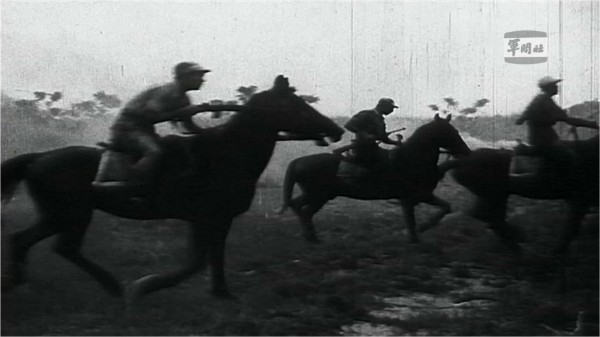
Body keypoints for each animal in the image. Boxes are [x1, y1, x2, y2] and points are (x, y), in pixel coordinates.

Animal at [0, 75, 344, 300]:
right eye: (297, 106)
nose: (335, 129)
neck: (226, 154)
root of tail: (37, 158)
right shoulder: (209, 218)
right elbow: (198, 261)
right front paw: (146, 286)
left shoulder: (212, 220)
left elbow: (210, 257)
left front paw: (221, 291)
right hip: (73, 214)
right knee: (64, 247)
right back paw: (112, 286)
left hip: (56, 215)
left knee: (24, 239)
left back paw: (19, 283)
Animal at [278, 114, 472, 243]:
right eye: (450, 132)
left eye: (455, 130)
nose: (466, 152)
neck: (411, 159)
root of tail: (299, 161)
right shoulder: (408, 200)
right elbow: (411, 221)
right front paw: (417, 236)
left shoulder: (424, 195)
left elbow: (445, 207)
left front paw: (425, 227)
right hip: (319, 195)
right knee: (304, 210)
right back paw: (311, 237)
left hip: (317, 195)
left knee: (298, 206)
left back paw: (310, 236)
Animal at [438, 133, 596, 253]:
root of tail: (460, 161)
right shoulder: (580, 198)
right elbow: (571, 229)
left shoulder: (578, 199)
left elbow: (571, 227)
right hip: (495, 194)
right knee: (491, 218)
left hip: (491, 195)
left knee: (485, 216)